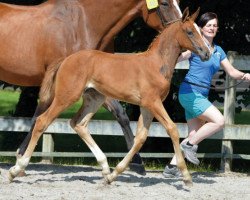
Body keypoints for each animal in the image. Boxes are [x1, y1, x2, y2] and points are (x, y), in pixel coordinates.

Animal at [8, 7, 210, 186]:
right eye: (190, 32)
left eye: (200, 31)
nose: (206, 53)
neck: (156, 64)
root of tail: (66, 59)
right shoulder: (153, 102)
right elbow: (172, 129)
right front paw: (186, 176)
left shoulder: (147, 106)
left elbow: (140, 138)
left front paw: (115, 174)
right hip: (66, 97)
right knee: (42, 121)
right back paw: (16, 169)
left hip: (94, 99)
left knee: (78, 124)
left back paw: (105, 167)